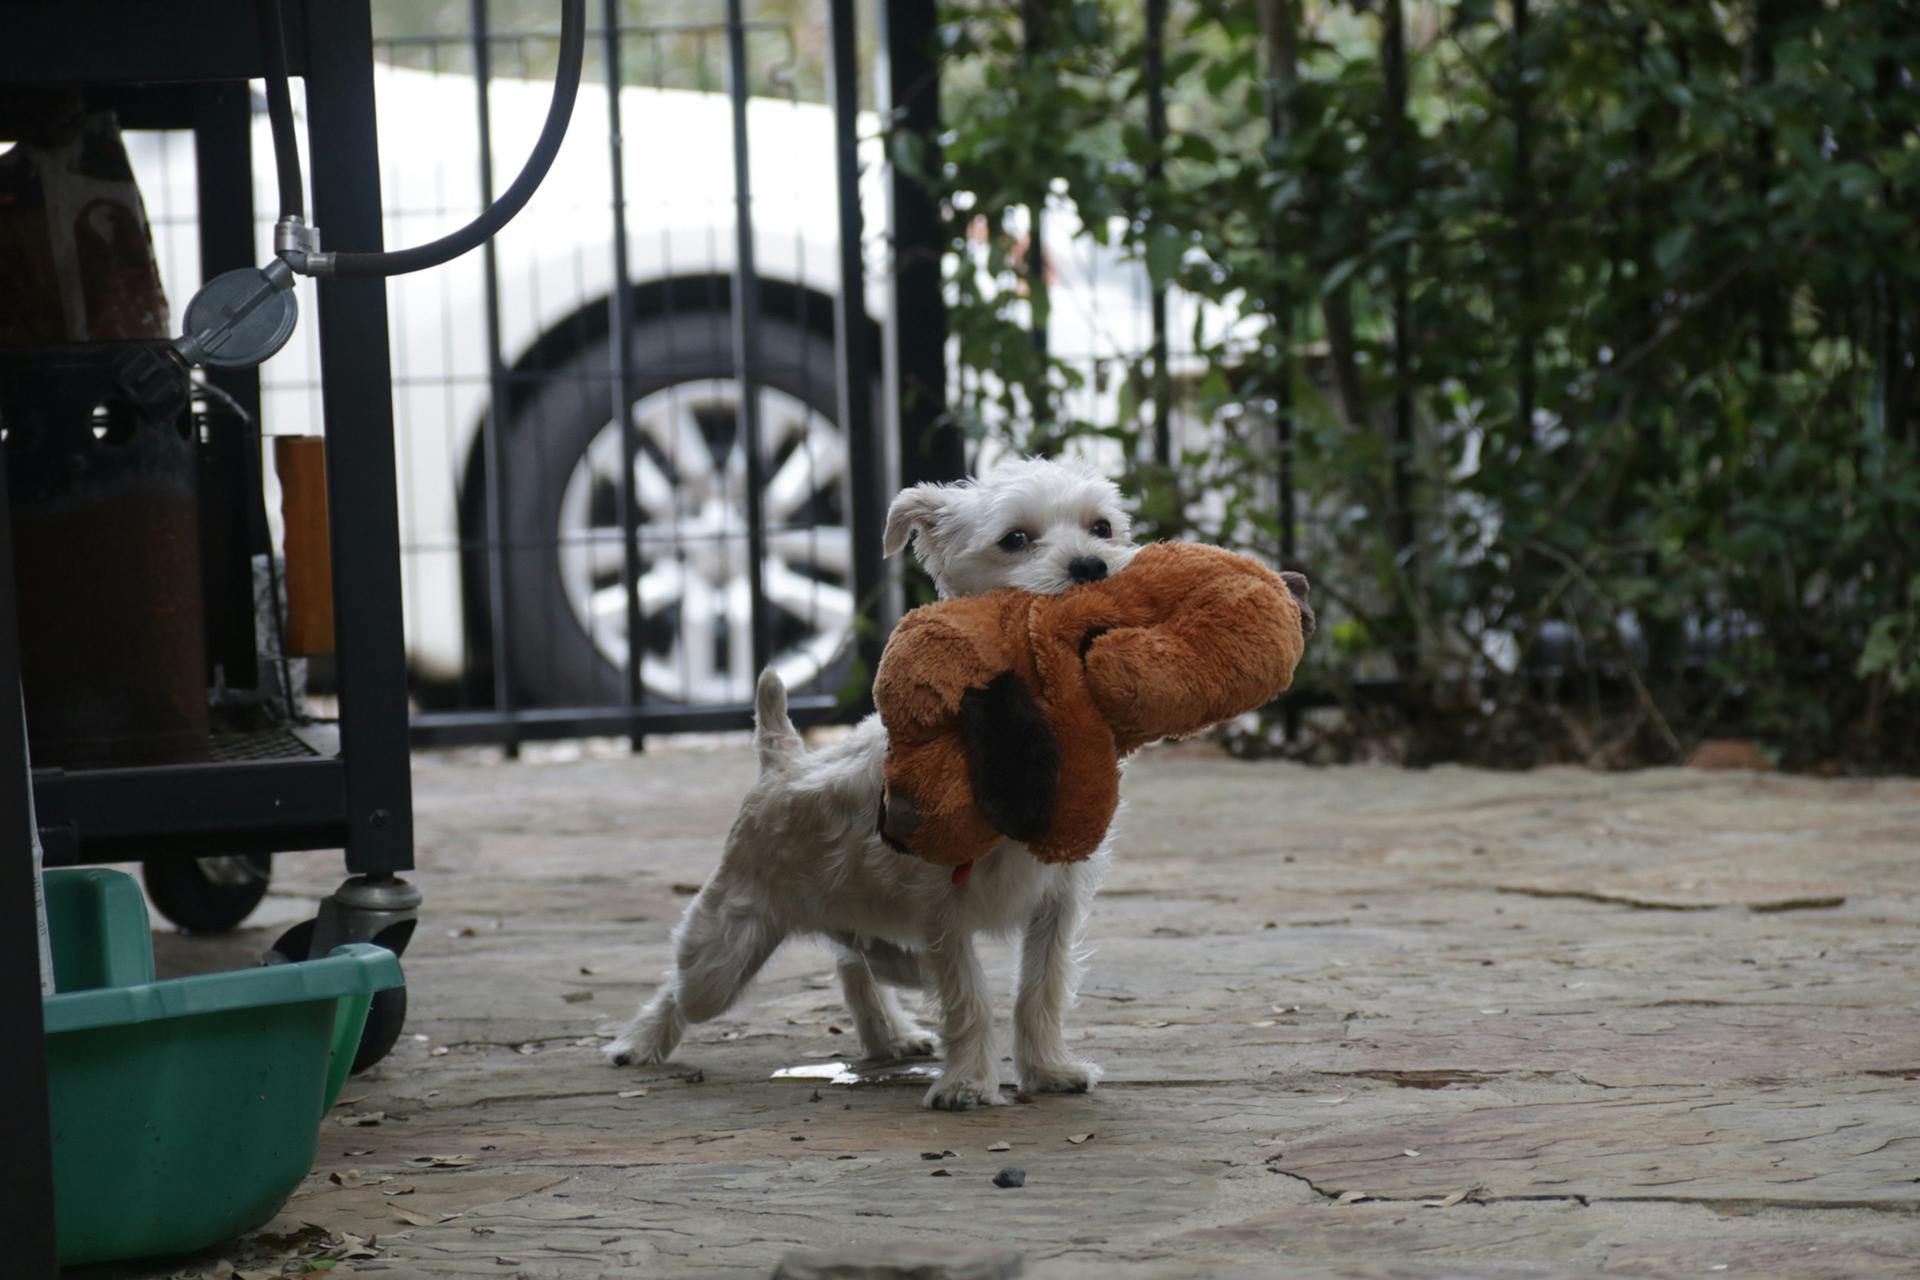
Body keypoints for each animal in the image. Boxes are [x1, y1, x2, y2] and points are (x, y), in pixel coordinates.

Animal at [602, 460, 1136, 1113]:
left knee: (855, 962)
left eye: (1101, 527)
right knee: (683, 987)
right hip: (725, 948)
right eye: (1015, 539)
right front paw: (966, 1084)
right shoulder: (944, 914)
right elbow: (968, 997)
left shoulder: (1055, 907)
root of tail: (781, 762)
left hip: (866, 923)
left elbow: (1040, 990)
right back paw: (639, 1043)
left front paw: (1047, 1070)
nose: (1090, 566)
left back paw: (891, 1033)